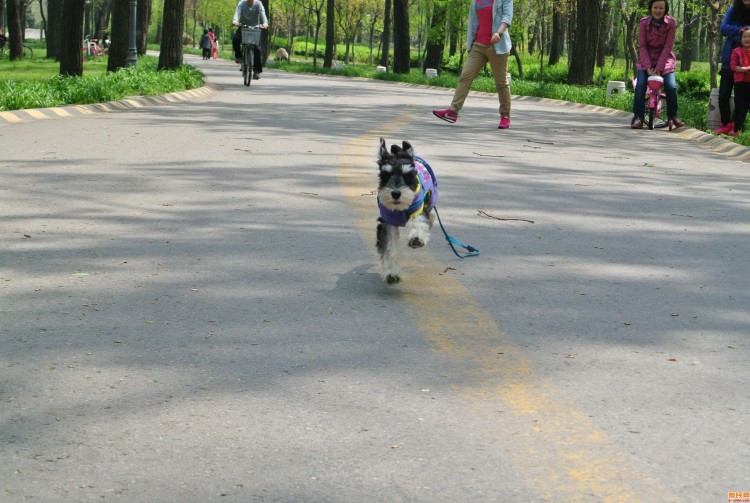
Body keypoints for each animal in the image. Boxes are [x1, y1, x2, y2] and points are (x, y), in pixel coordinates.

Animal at [376, 138, 440, 286]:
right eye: (385, 175)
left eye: (408, 175)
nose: (395, 193)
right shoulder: (387, 222)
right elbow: (390, 248)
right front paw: (392, 273)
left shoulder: (418, 209)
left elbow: (418, 222)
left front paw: (416, 238)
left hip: (430, 199)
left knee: (430, 215)